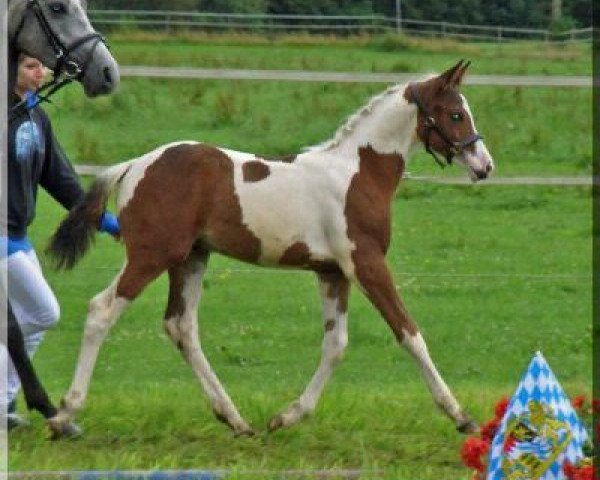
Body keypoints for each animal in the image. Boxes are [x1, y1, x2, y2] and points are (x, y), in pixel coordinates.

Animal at [47, 60, 494, 438]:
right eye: (455, 114)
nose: (485, 166)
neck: (357, 172)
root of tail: (134, 165)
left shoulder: (332, 272)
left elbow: (335, 346)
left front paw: (287, 416)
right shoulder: (365, 263)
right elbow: (409, 333)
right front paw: (461, 416)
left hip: (191, 258)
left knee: (180, 326)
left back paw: (235, 419)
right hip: (152, 255)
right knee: (102, 310)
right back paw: (65, 413)